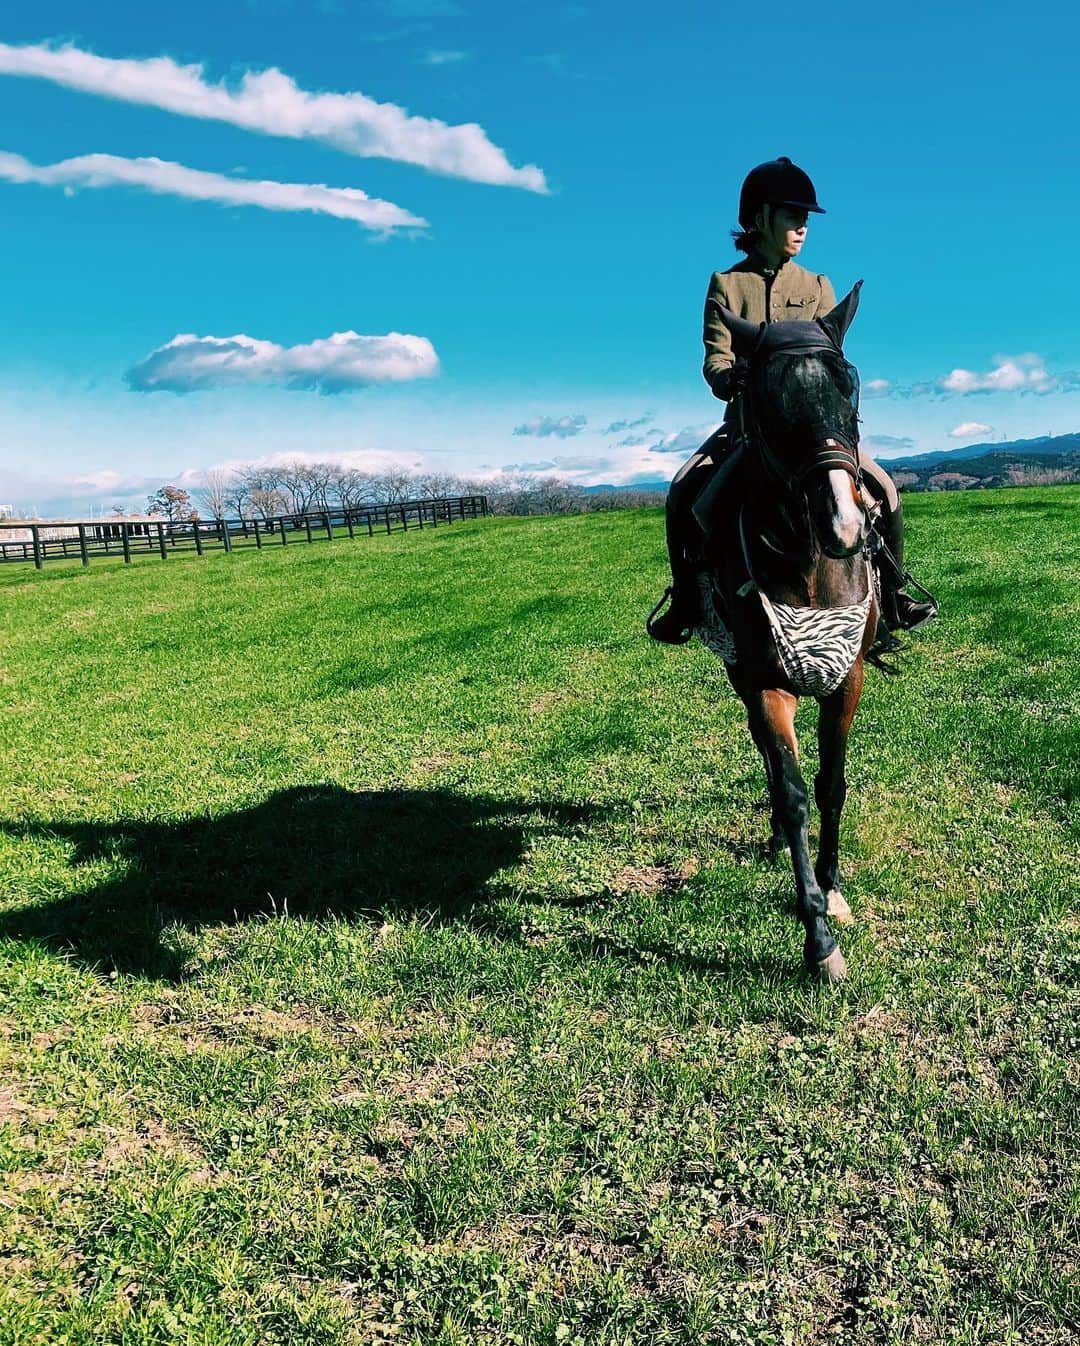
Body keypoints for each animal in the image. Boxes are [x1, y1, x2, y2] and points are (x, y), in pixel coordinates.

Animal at [689, 286, 872, 979]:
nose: (844, 524)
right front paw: (818, 939)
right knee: (768, 761)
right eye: (765, 402)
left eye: (850, 385)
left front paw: (834, 887)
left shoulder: (847, 675)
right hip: (741, 674)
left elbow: (830, 784)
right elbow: (793, 793)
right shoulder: (768, 682)